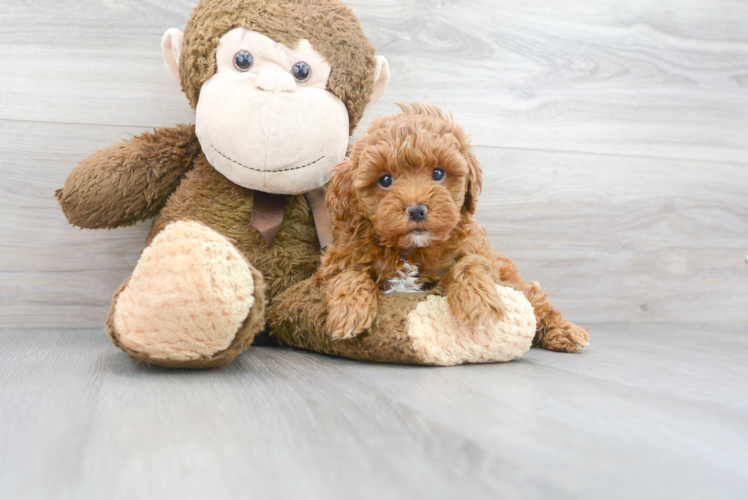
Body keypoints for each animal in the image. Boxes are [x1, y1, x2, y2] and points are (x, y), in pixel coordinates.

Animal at [318, 101, 592, 354]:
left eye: (438, 174)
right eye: (385, 179)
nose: (417, 210)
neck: (410, 251)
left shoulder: (479, 252)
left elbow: (468, 265)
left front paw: (479, 303)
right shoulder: (337, 260)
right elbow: (351, 274)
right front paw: (350, 312)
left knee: (537, 301)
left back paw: (566, 332)